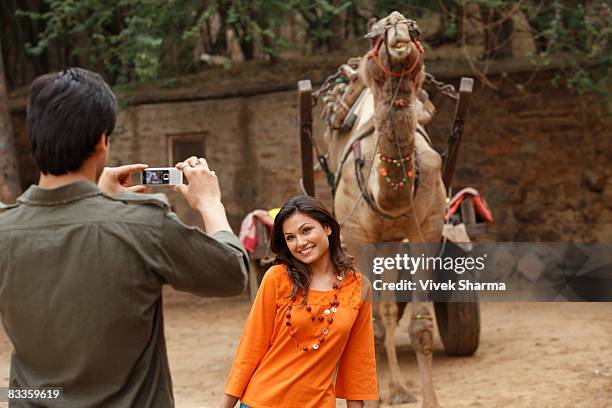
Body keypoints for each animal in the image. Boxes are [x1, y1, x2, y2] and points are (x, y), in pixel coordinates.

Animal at [322, 11, 448, 406]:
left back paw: (397, 390)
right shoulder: (356, 236)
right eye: (375, 34)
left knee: (391, 308)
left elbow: (420, 324)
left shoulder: (427, 229)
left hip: (391, 242)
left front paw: (428, 399)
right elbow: (369, 326)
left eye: (416, 29)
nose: (399, 37)